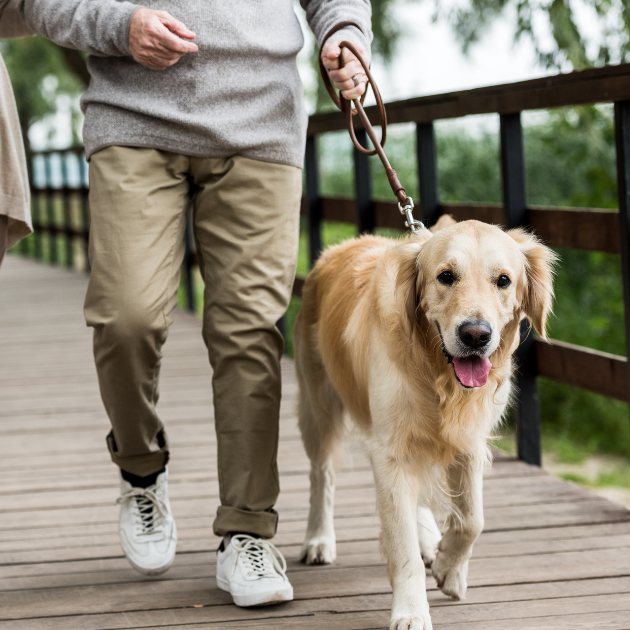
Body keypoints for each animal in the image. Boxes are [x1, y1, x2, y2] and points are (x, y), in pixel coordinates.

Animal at [294, 215, 556, 628]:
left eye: (503, 280)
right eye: (446, 276)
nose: (475, 335)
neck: (437, 373)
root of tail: (338, 248)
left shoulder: (468, 440)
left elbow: (471, 520)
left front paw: (450, 568)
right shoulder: (391, 452)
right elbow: (402, 550)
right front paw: (411, 611)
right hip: (318, 404)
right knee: (322, 475)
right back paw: (319, 539)